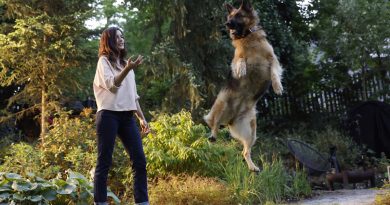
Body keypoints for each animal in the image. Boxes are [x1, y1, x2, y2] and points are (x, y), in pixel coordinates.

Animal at [204, 0, 284, 171]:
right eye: (229, 17)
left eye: (239, 15)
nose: (227, 24)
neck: (248, 37)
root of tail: (231, 119)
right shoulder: (235, 59)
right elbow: (240, 59)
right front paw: (242, 69)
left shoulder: (273, 59)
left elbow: (274, 72)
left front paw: (277, 86)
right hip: (222, 103)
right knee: (213, 122)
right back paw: (213, 135)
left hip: (251, 132)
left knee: (245, 151)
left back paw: (252, 167)